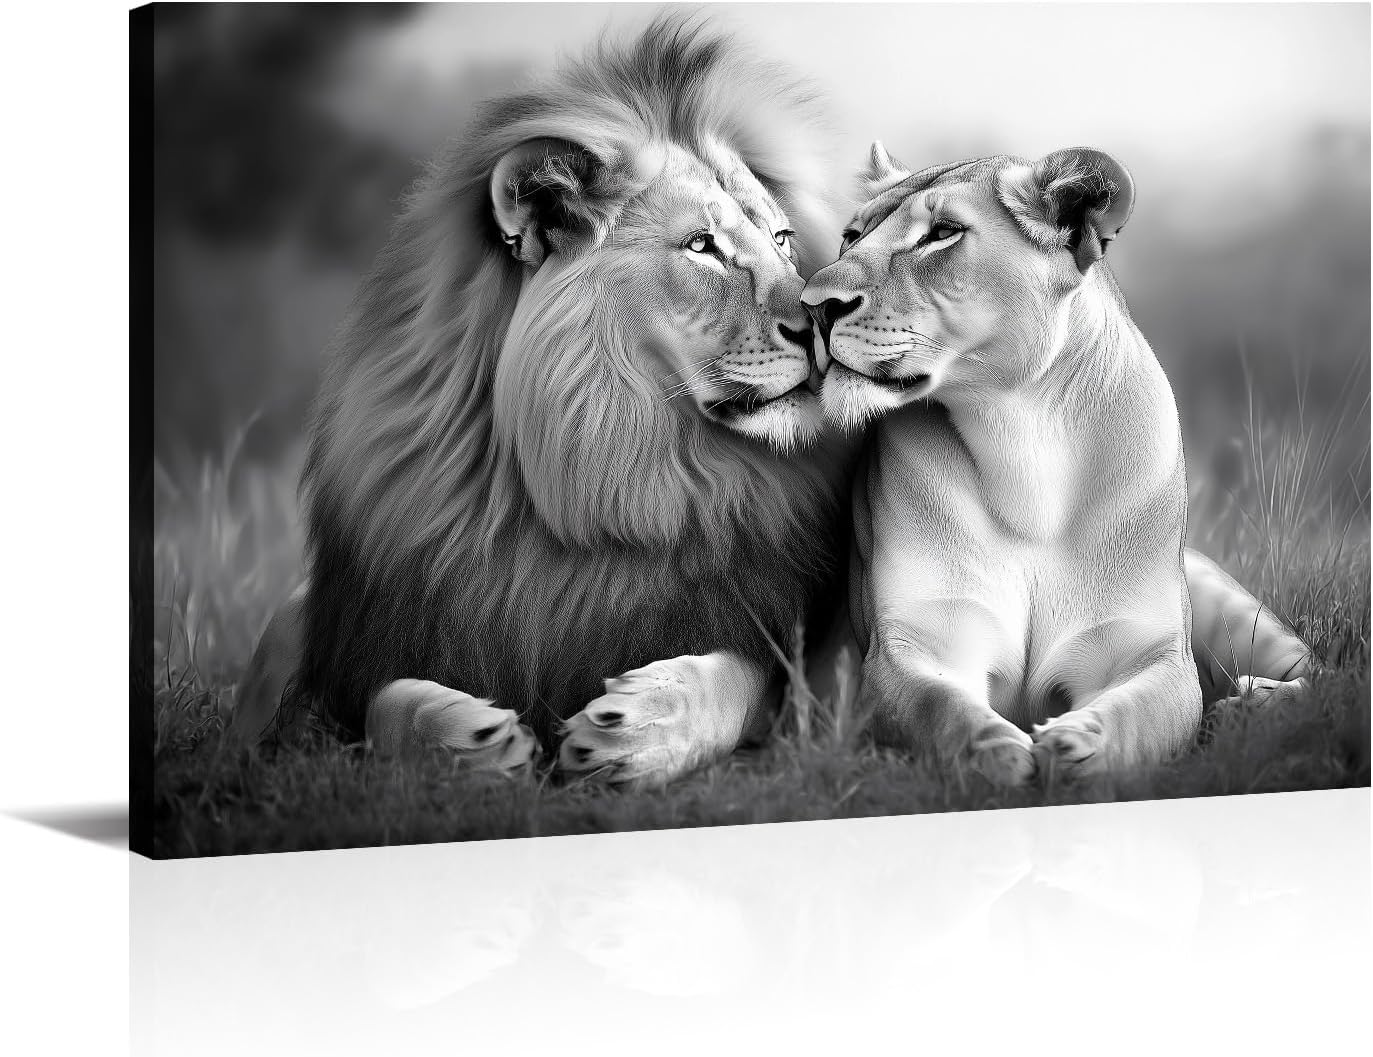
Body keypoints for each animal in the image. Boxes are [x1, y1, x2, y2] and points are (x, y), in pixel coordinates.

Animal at [229, 19, 857, 787]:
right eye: (701, 246)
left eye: (781, 239)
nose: (823, 316)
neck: (602, 478)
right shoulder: (344, 664)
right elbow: (382, 704)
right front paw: (466, 738)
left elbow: (738, 678)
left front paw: (638, 729)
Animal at [800, 143, 1313, 784]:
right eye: (851, 236)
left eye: (942, 234)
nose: (813, 308)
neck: (1022, 445)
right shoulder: (913, 644)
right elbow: (942, 710)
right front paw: (1001, 757)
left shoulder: (1149, 655)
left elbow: (1138, 713)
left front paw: (1075, 747)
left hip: (1231, 608)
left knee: (1324, 675)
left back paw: (1255, 704)